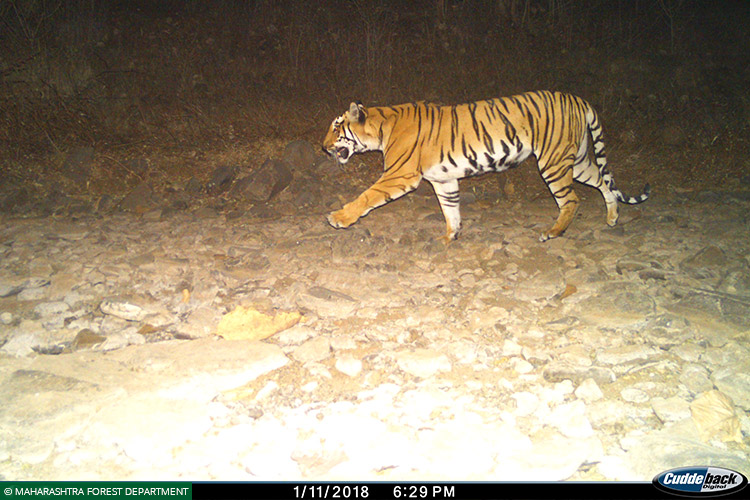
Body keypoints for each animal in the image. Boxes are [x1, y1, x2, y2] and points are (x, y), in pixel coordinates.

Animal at [322, 90, 650, 243]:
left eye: (336, 128)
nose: (323, 147)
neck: (381, 126)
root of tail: (579, 99)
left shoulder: (398, 175)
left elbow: (366, 196)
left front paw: (338, 218)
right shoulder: (444, 181)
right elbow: (451, 210)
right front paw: (450, 237)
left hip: (553, 162)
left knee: (571, 199)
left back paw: (553, 232)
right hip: (577, 160)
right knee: (604, 182)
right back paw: (612, 218)